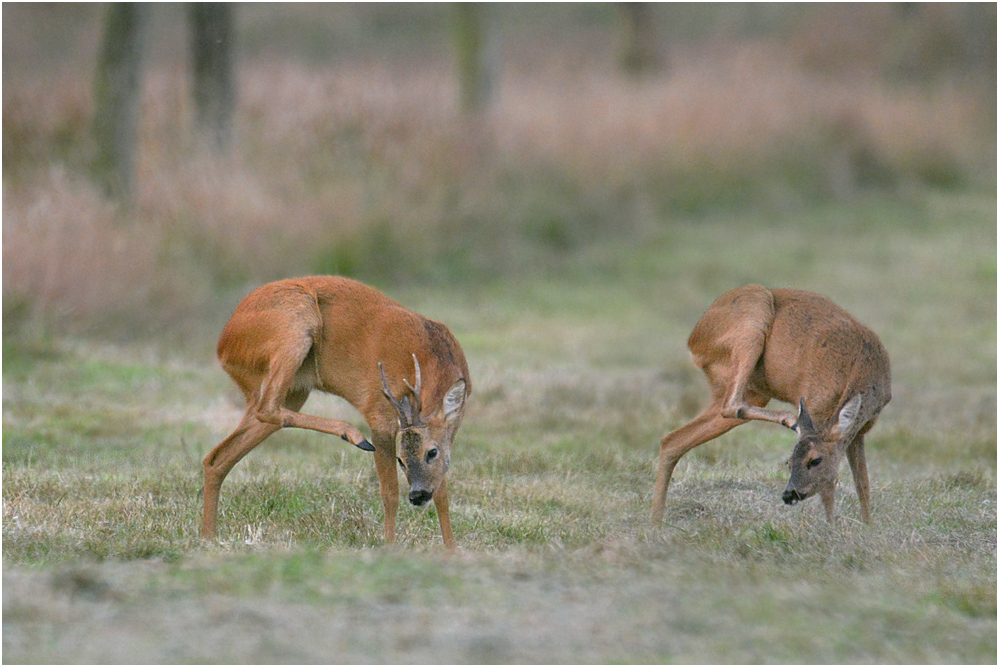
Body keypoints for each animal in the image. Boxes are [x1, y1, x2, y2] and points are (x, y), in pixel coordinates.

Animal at [203, 276, 472, 548]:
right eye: (401, 459)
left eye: (432, 452)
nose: (417, 495)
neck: (434, 360)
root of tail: (223, 345)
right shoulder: (379, 415)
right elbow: (390, 493)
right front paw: (389, 546)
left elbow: (443, 496)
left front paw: (451, 549)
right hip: (295, 327)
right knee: (266, 408)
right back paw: (354, 436)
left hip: (292, 391)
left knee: (217, 457)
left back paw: (208, 538)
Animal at [652, 284, 896, 524]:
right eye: (788, 462)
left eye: (814, 461)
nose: (789, 494)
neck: (863, 370)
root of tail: (693, 341)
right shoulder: (816, 408)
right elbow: (831, 487)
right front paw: (831, 528)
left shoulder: (859, 432)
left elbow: (862, 483)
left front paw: (868, 528)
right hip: (752, 324)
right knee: (731, 405)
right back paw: (789, 419)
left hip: (752, 390)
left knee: (672, 440)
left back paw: (655, 523)